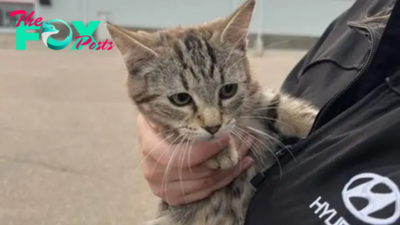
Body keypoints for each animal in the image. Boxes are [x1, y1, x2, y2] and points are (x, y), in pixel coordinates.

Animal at [106, 0, 318, 225]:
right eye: (181, 99)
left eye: (228, 90)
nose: (213, 126)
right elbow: (177, 134)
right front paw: (219, 150)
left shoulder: (255, 97)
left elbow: (279, 104)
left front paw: (310, 117)